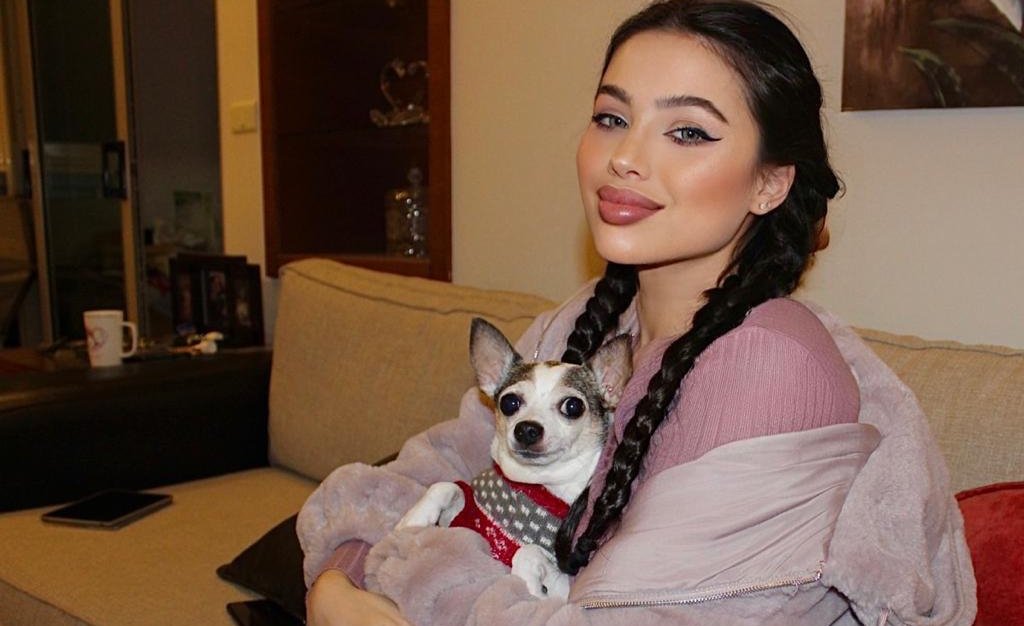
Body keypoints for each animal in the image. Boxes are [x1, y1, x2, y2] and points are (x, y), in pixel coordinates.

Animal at [396, 317, 632, 599]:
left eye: (573, 406)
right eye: (509, 402)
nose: (527, 428)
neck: (533, 484)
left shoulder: (562, 584)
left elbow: (527, 551)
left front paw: (531, 589)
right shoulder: (465, 515)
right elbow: (447, 486)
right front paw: (412, 521)